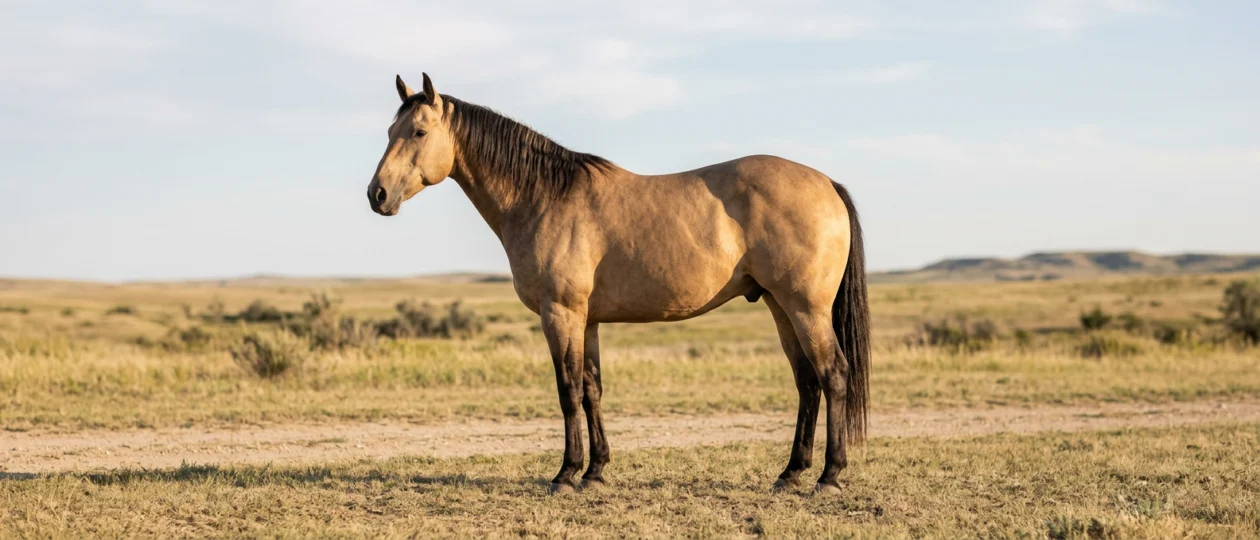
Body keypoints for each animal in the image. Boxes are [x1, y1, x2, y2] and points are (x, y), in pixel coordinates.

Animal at [367, 74, 871, 495]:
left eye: (418, 132)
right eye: (390, 132)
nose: (377, 195)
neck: (543, 198)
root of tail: (827, 183)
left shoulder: (560, 314)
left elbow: (568, 390)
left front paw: (566, 474)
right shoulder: (586, 321)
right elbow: (592, 390)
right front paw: (596, 471)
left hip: (805, 308)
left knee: (833, 375)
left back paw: (829, 476)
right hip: (780, 306)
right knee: (807, 382)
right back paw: (790, 473)